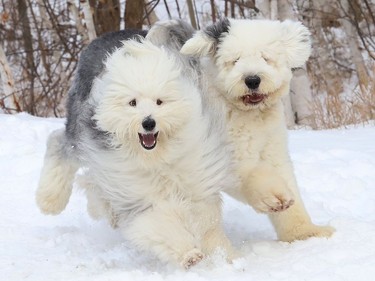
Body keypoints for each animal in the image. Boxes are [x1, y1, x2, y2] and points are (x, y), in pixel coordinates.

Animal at [34, 21, 235, 266]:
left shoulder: (197, 181)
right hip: (80, 131)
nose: (148, 123)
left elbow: (206, 223)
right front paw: (189, 254)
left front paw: (223, 255)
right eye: (132, 103)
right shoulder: (135, 194)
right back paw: (49, 201)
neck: (157, 158)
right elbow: (159, 224)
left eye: (160, 101)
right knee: (58, 143)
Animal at [181, 18, 336, 241]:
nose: (252, 80)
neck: (249, 116)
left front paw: (305, 233)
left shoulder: (273, 149)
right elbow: (250, 174)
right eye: (235, 60)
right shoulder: (220, 156)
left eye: (265, 58)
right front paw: (274, 197)